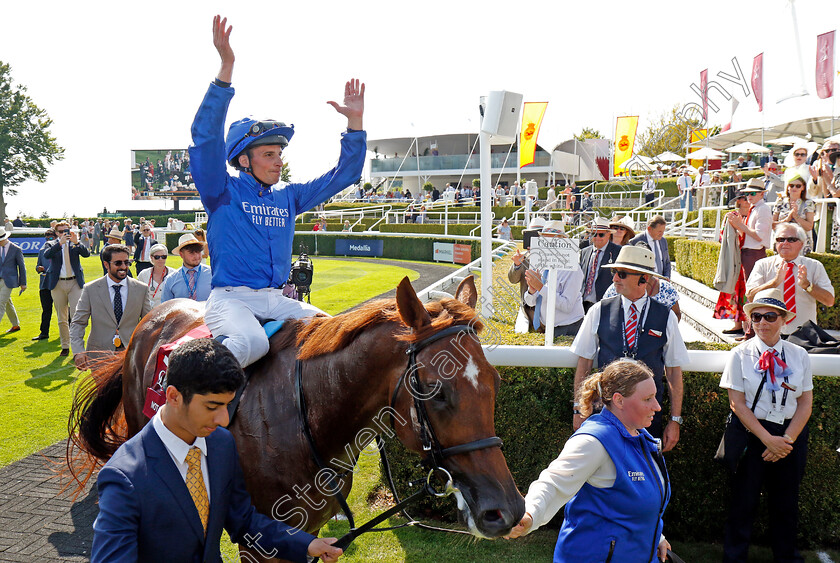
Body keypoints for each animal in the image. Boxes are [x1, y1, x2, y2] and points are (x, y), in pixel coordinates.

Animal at [67, 278, 524, 563]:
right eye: (435, 389)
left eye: (496, 381)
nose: (506, 510)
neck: (309, 419)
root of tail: (154, 314)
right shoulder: (260, 542)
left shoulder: (310, 534)